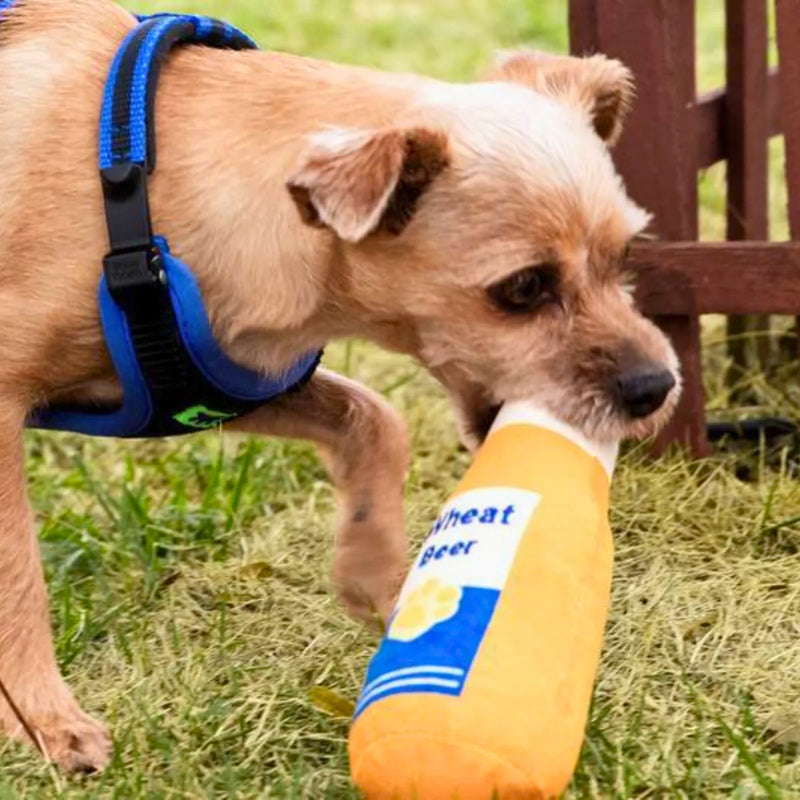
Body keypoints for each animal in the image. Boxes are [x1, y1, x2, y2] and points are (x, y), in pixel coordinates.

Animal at [0, 0, 680, 772]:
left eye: (625, 255)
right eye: (524, 288)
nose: (657, 386)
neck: (141, 191)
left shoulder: (225, 379)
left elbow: (376, 417)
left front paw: (377, 575)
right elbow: (18, 573)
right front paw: (44, 720)